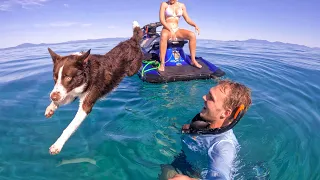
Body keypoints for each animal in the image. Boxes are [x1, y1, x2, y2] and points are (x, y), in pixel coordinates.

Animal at [44, 21, 144, 155]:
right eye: (55, 77)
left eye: (68, 77)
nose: (52, 96)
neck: (87, 72)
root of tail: (132, 40)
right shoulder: (72, 91)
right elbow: (62, 97)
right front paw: (51, 107)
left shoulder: (85, 104)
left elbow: (70, 127)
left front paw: (57, 145)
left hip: (132, 69)